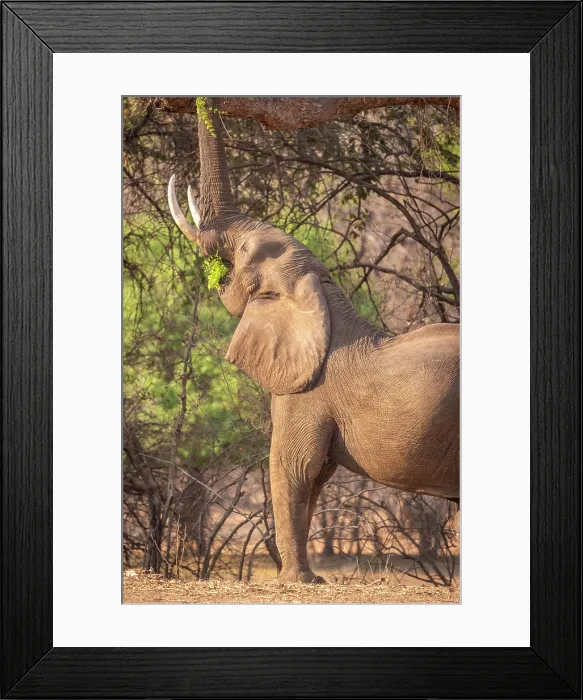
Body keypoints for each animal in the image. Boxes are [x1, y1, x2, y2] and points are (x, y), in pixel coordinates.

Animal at [168, 100, 459, 583]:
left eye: (244, 252)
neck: (321, 292)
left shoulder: (305, 390)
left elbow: (294, 469)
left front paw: (297, 581)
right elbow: (315, 475)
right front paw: (306, 578)